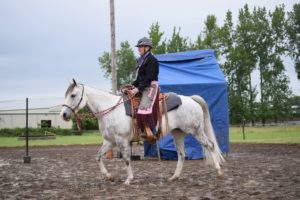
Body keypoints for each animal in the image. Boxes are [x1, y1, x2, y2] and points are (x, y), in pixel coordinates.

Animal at [61, 79, 224, 185]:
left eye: (73, 95)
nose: (63, 114)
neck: (110, 109)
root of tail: (191, 99)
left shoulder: (122, 140)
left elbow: (126, 159)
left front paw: (128, 180)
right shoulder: (110, 141)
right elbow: (98, 157)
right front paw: (110, 177)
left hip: (196, 131)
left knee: (210, 145)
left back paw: (219, 171)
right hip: (178, 133)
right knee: (182, 154)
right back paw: (174, 177)